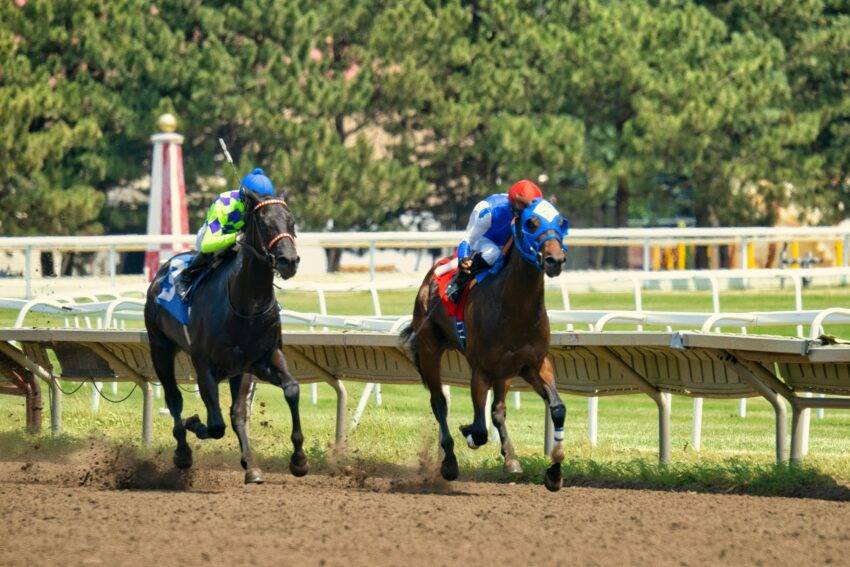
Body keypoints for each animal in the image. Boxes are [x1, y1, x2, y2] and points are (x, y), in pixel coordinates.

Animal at [144, 191, 304, 484]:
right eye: (264, 223)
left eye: (292, 221)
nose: (289, 261)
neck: (247, 304)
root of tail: (163, 270)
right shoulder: (204, 364)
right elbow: (215, 424)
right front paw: (194, 423)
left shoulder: (260, 360)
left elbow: (289, 390)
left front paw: (298, 460)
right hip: (160, 348)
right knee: (174, 399)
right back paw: (182, 452)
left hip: (236, 370)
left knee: (236, 412)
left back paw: (251, 466)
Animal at [400, 200, 568, 492]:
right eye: (531, 223)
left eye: (560, 222)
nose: (555, 260)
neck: (515, 307)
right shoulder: (481, 370)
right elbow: (478, 429)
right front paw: (467, 434)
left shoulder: (534, 364)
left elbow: (557, 409)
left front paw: (554, 472)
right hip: (430, 349)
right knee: (439, 403)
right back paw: (449, 462)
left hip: (505, 372)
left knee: (498, 410)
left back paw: (511, 459)